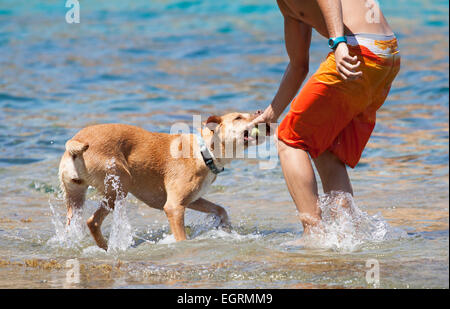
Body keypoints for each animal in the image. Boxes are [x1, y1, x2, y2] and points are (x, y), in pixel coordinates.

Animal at [57, 112, 268, 249]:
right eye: (238, 117)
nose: (260, 113)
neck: (204, 151)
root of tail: (74, 143)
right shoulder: (174, 207)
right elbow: (181, 238)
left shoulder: (192, 199)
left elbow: (220, 208)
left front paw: (225, 228)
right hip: (120, 184)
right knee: (93, 221)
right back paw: (108, 246)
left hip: (75, 196)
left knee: (76, 221)